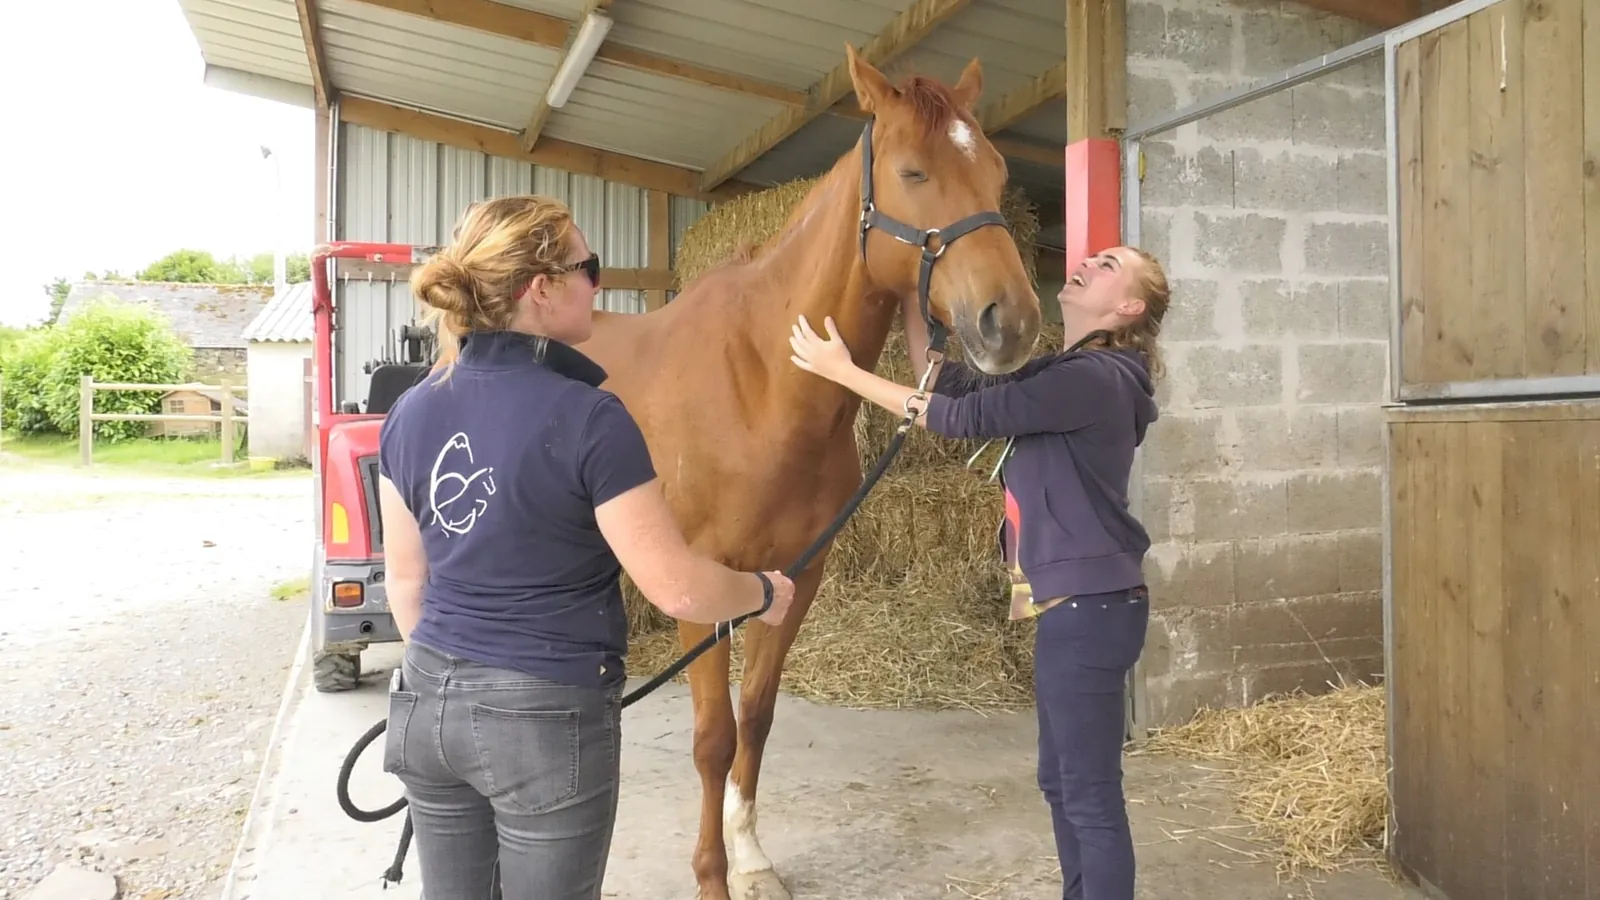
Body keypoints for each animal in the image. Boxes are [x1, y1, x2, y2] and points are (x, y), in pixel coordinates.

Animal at [575, 44, 1044, 900]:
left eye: (996, 172)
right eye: (913, 171)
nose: (1014, 324)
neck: (761, 383)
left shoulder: (797, 574)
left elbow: (756, 718)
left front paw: (752, 858)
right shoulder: (707, 583)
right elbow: (712, 737)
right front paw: (712, 876)